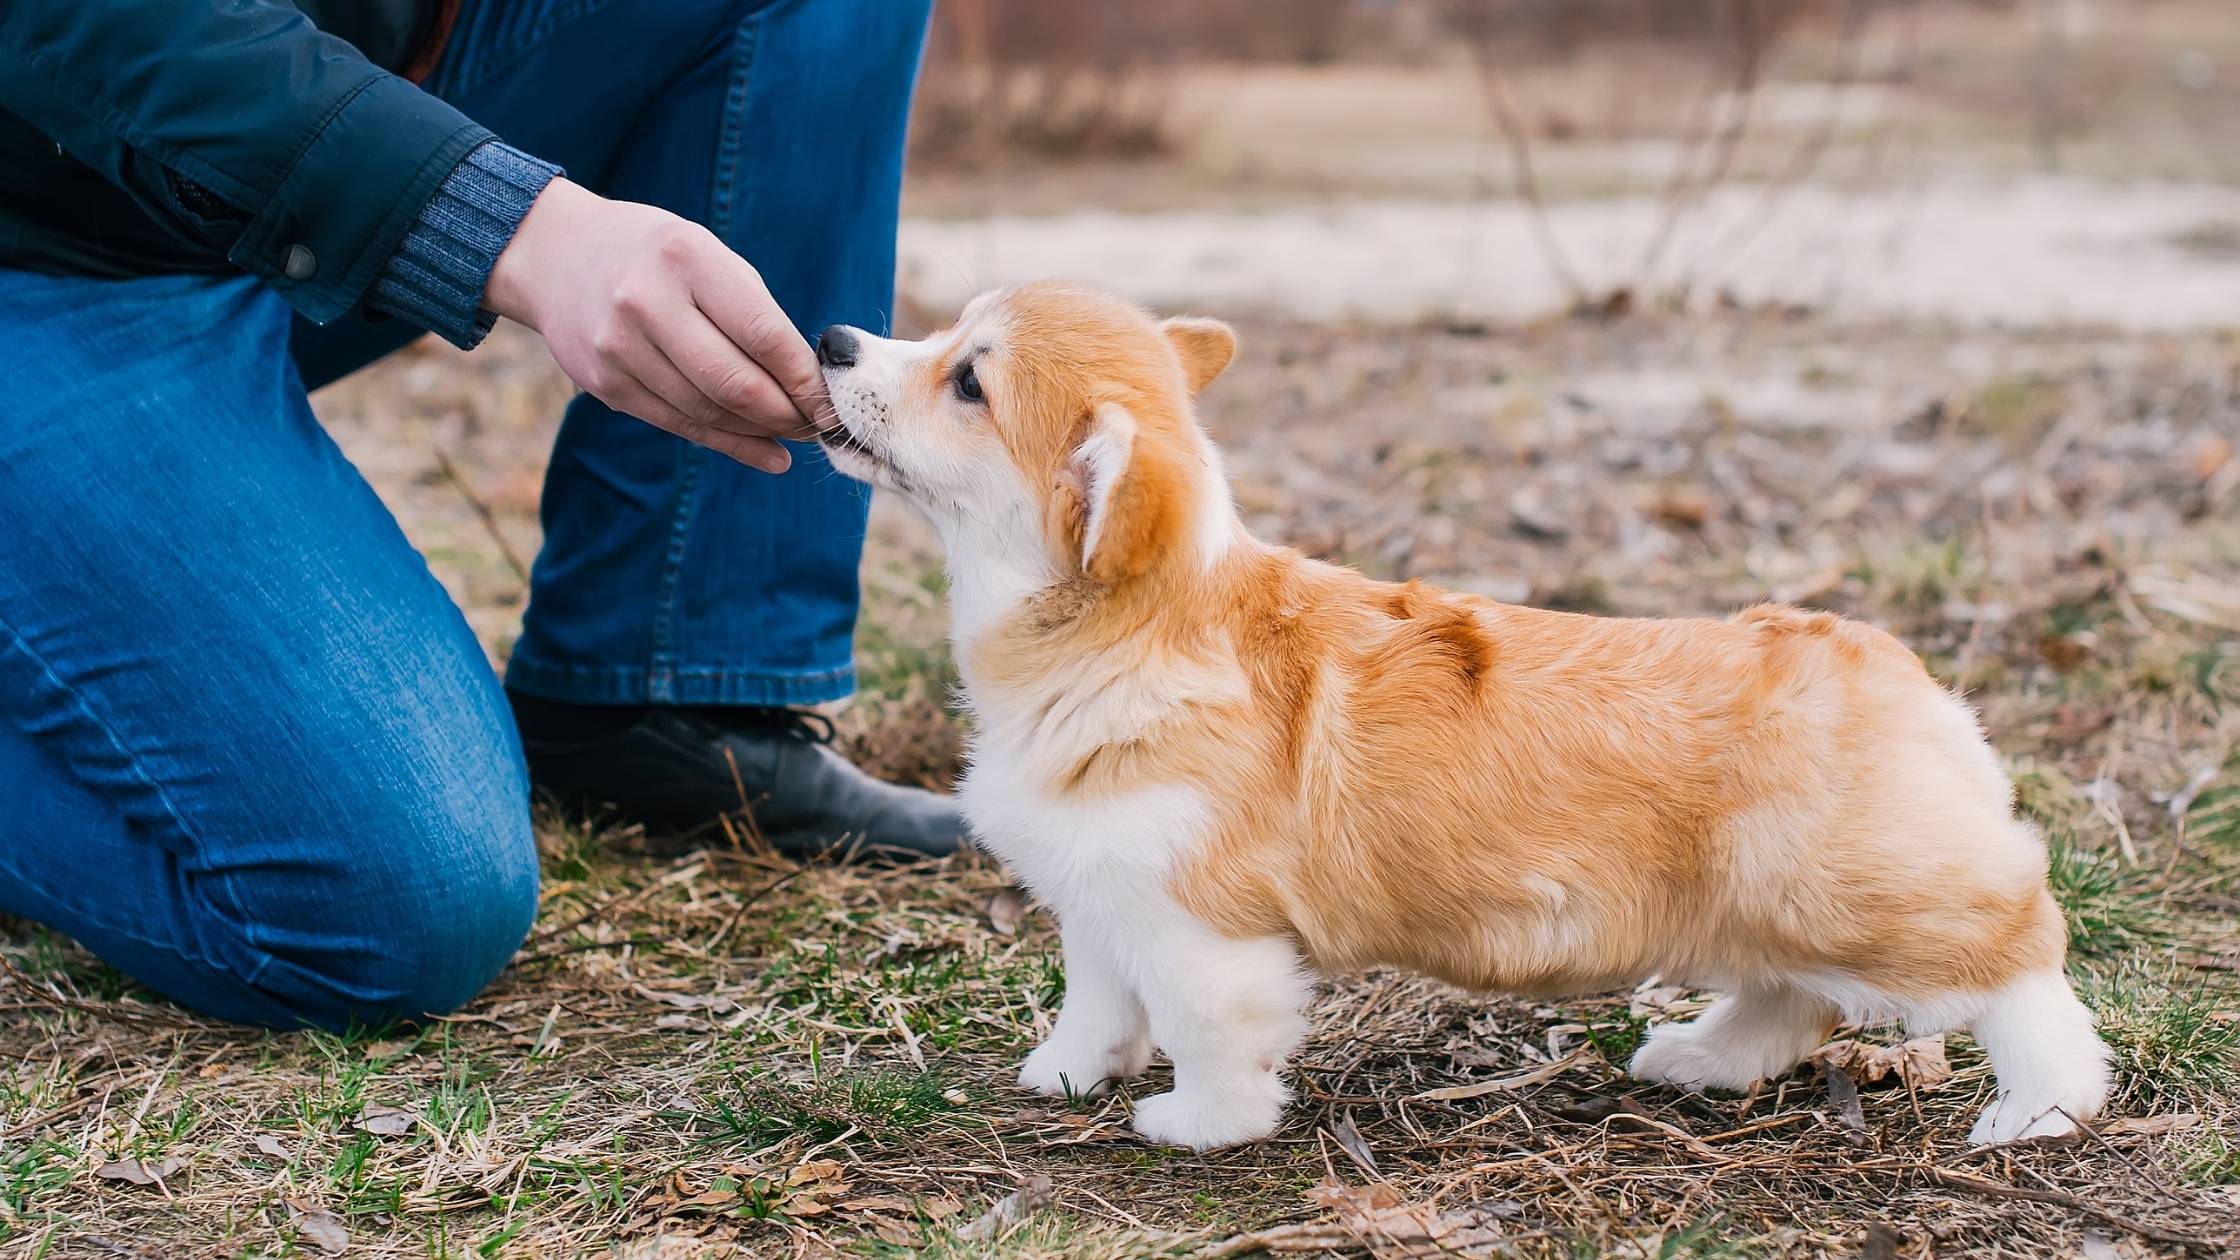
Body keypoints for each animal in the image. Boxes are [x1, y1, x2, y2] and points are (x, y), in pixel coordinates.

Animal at [815, 282, 2105, 1147]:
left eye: (968, 380)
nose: (829, 338)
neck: (1118, 628)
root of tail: (1890, 663)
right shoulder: (1101, 893)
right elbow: (1097, 1002)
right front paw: (1068, 1076)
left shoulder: (1199, 927)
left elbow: (1208, 1032)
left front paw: (1195, 1125)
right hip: (1771, 905)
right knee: (1787, 997)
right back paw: (1698, 1056)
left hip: (1864, 898)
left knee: (2018, 961)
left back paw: (2042, 1106)